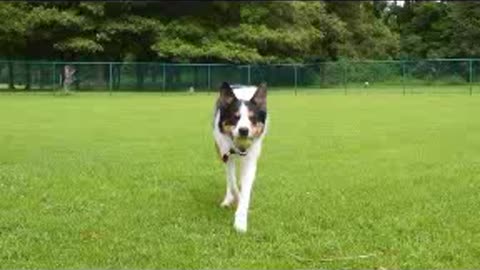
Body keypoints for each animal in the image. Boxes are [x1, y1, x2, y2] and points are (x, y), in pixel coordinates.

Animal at [213, 80, 268, 232]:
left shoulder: (251, 159)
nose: (244, 130)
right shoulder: (226, 154)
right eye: (235, 117)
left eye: (252, 118)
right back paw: (228, 199)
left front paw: (241, 221)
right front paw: (235, 198)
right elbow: (232, 182)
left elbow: (246, 188)